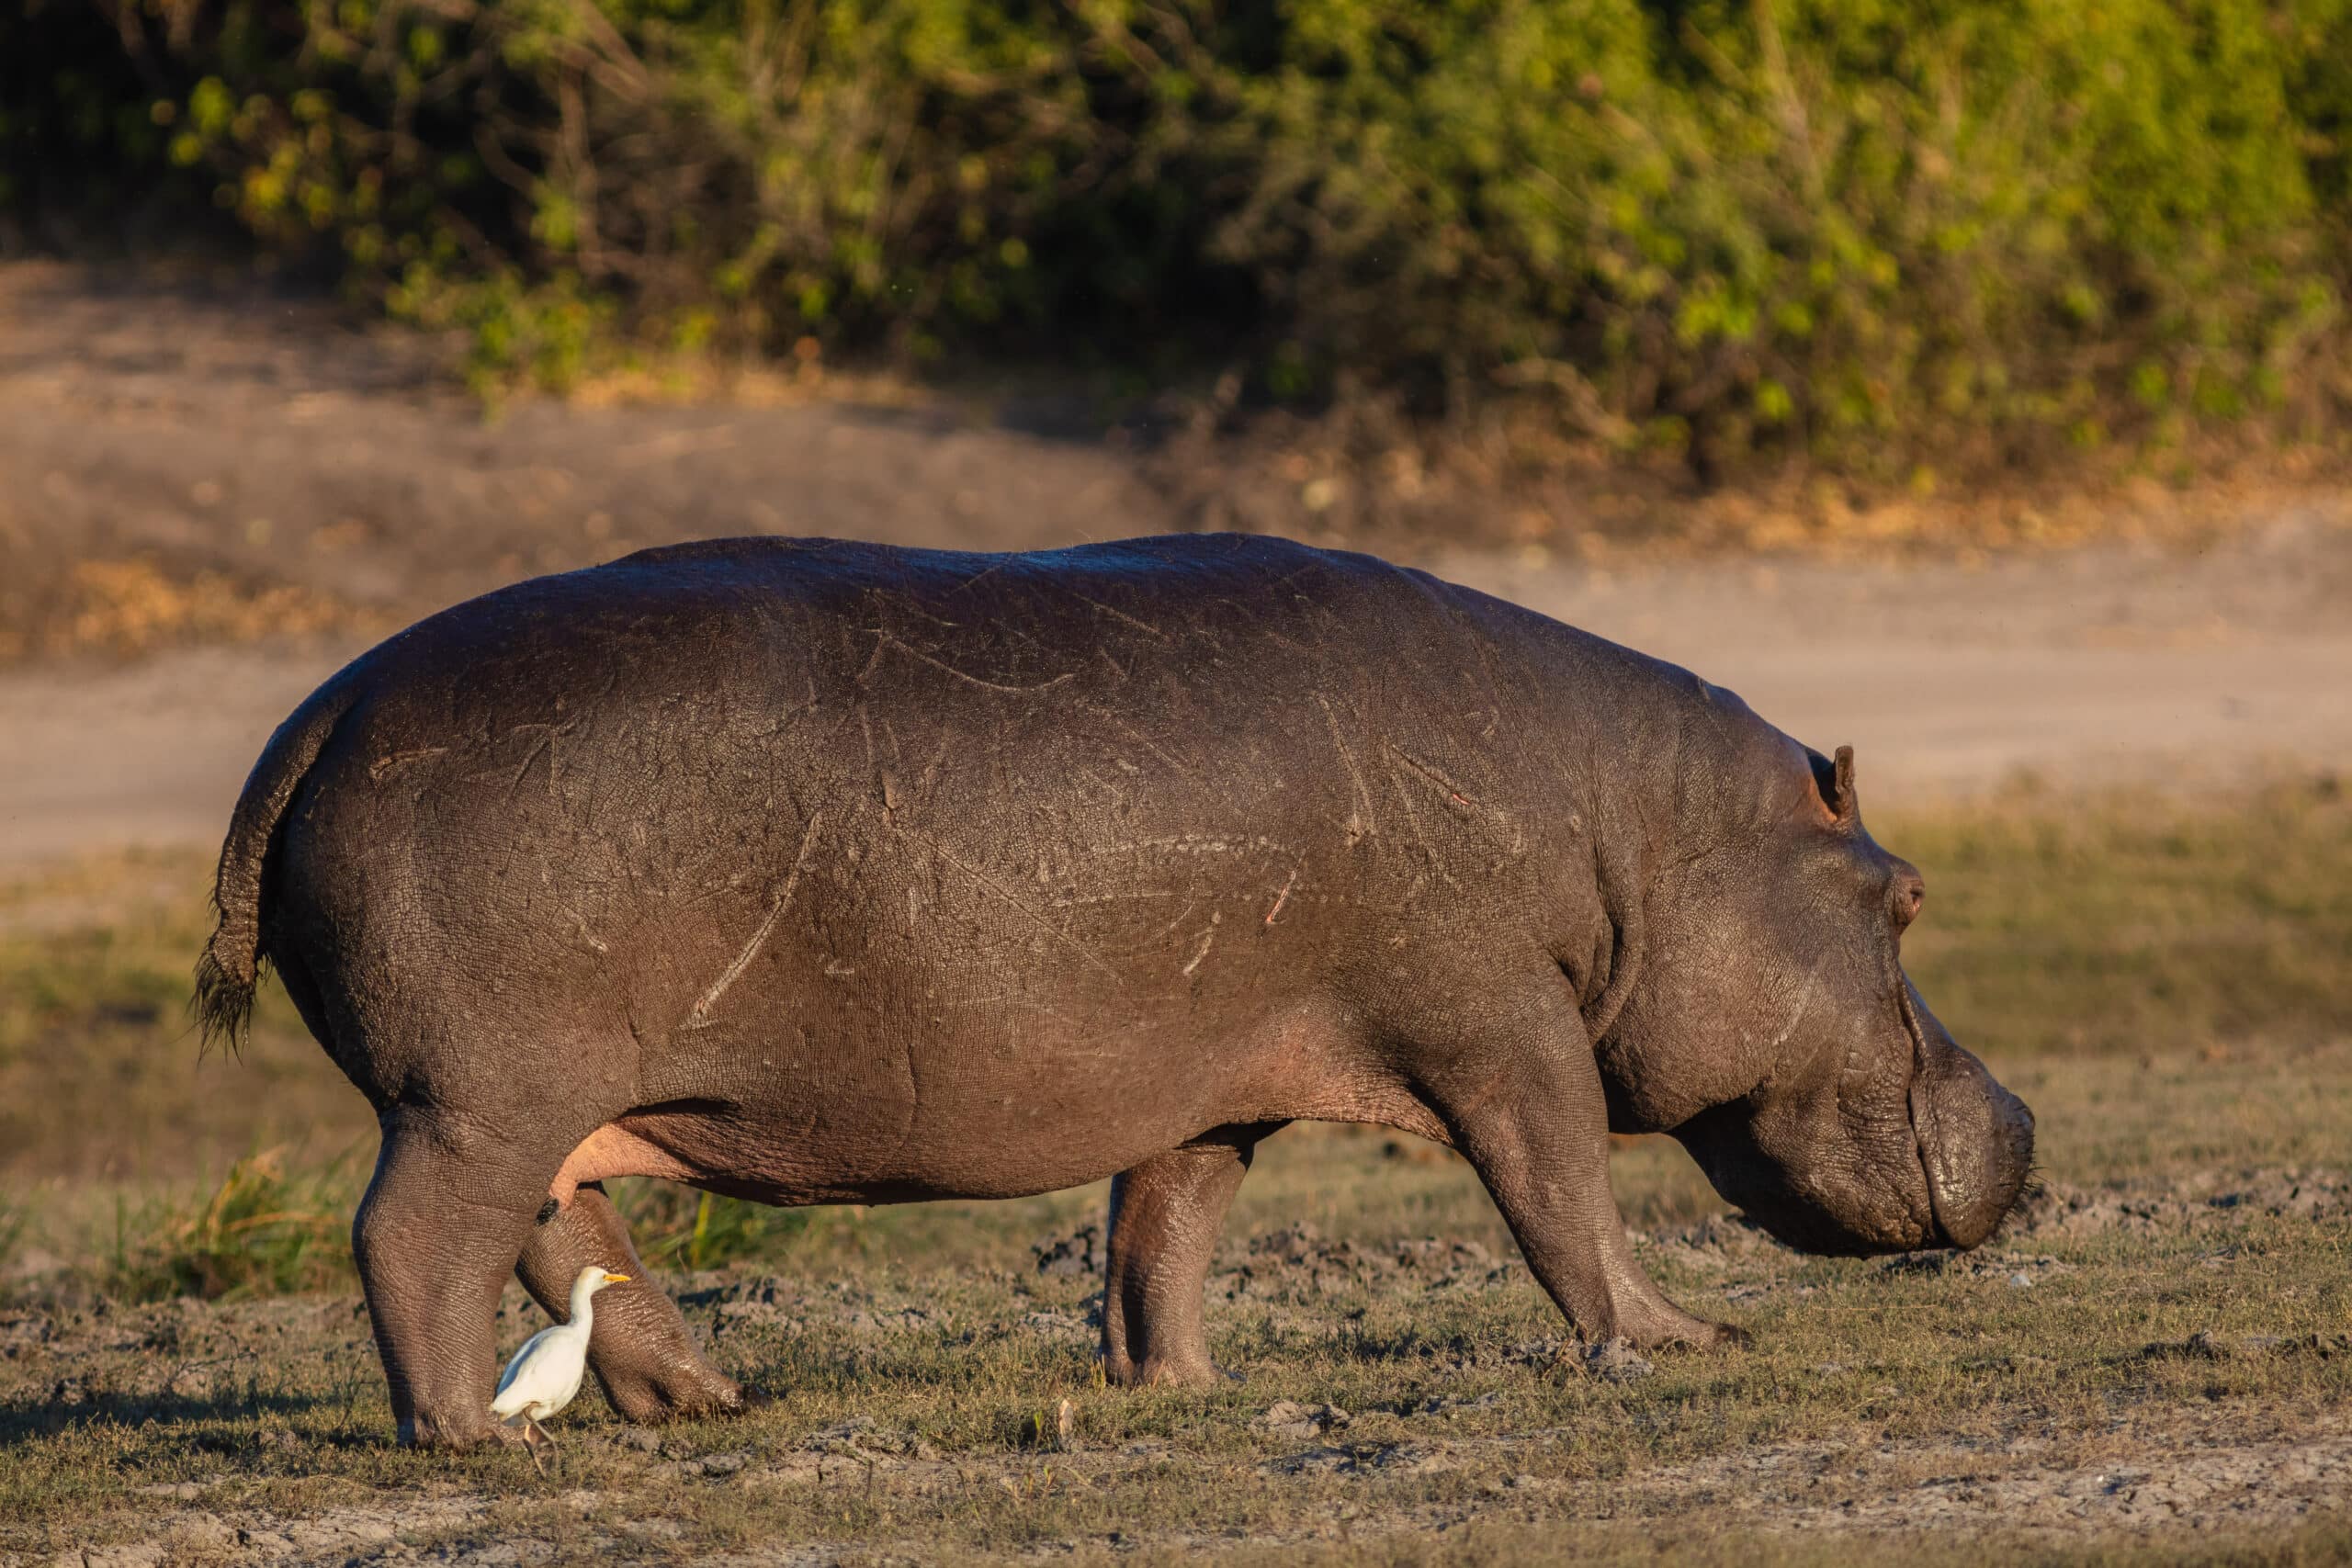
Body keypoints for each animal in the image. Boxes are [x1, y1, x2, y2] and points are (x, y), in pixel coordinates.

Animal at [196, 533, 2034, 1446]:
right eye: (1907, 895)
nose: (2022, 1122)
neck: (1644, 834)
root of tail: (320, 708)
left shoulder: (1214, 1070)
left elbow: (1167, 1229)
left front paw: (1183, 1389)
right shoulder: (1500, 1028)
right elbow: (1563, 1186)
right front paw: (1684, 1337)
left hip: (546, 1098)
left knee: (563, 1234)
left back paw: (712, 1398)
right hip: (476, 1093)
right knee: (414, 1238)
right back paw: (467, 1434)